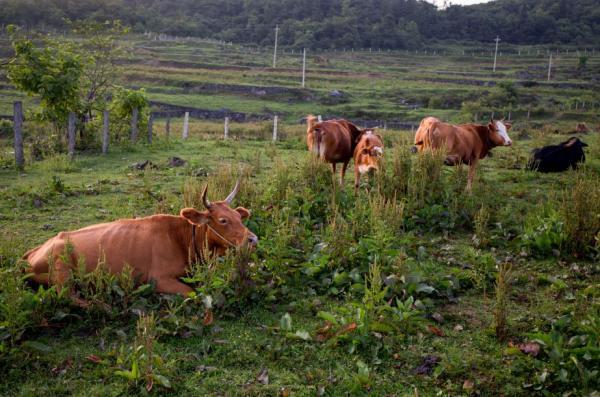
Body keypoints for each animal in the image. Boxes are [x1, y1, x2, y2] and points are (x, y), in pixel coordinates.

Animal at [22, 183, 256, 294]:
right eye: (223, 220)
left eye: (239, 217)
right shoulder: (159, 279)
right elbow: (192, 293)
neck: (181, 239)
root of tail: (32, 252)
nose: (253, 239)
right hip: (62, 272)